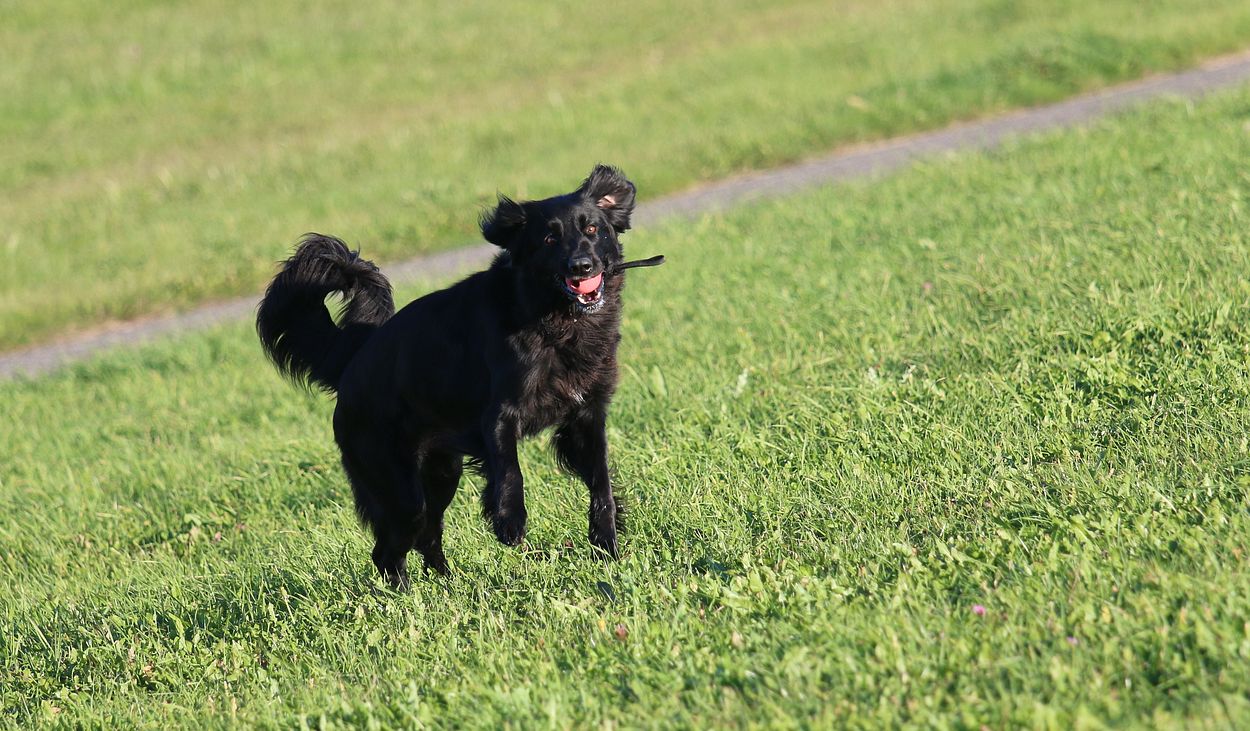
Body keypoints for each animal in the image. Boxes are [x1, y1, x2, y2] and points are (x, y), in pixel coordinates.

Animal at [257, 165, 661, 588]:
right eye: (550, 238)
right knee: (390, 549)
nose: (582, 266)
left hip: (440, 472)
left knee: (427, 535)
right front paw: (509, 522)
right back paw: (405, 596)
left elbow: (601, 484)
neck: (554, 317)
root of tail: (352, 361)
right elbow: (510, 470)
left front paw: (608, 547)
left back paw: (447, 585)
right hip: (399, 488)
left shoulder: (586, 415)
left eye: (593, 229)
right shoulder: (499, 416)